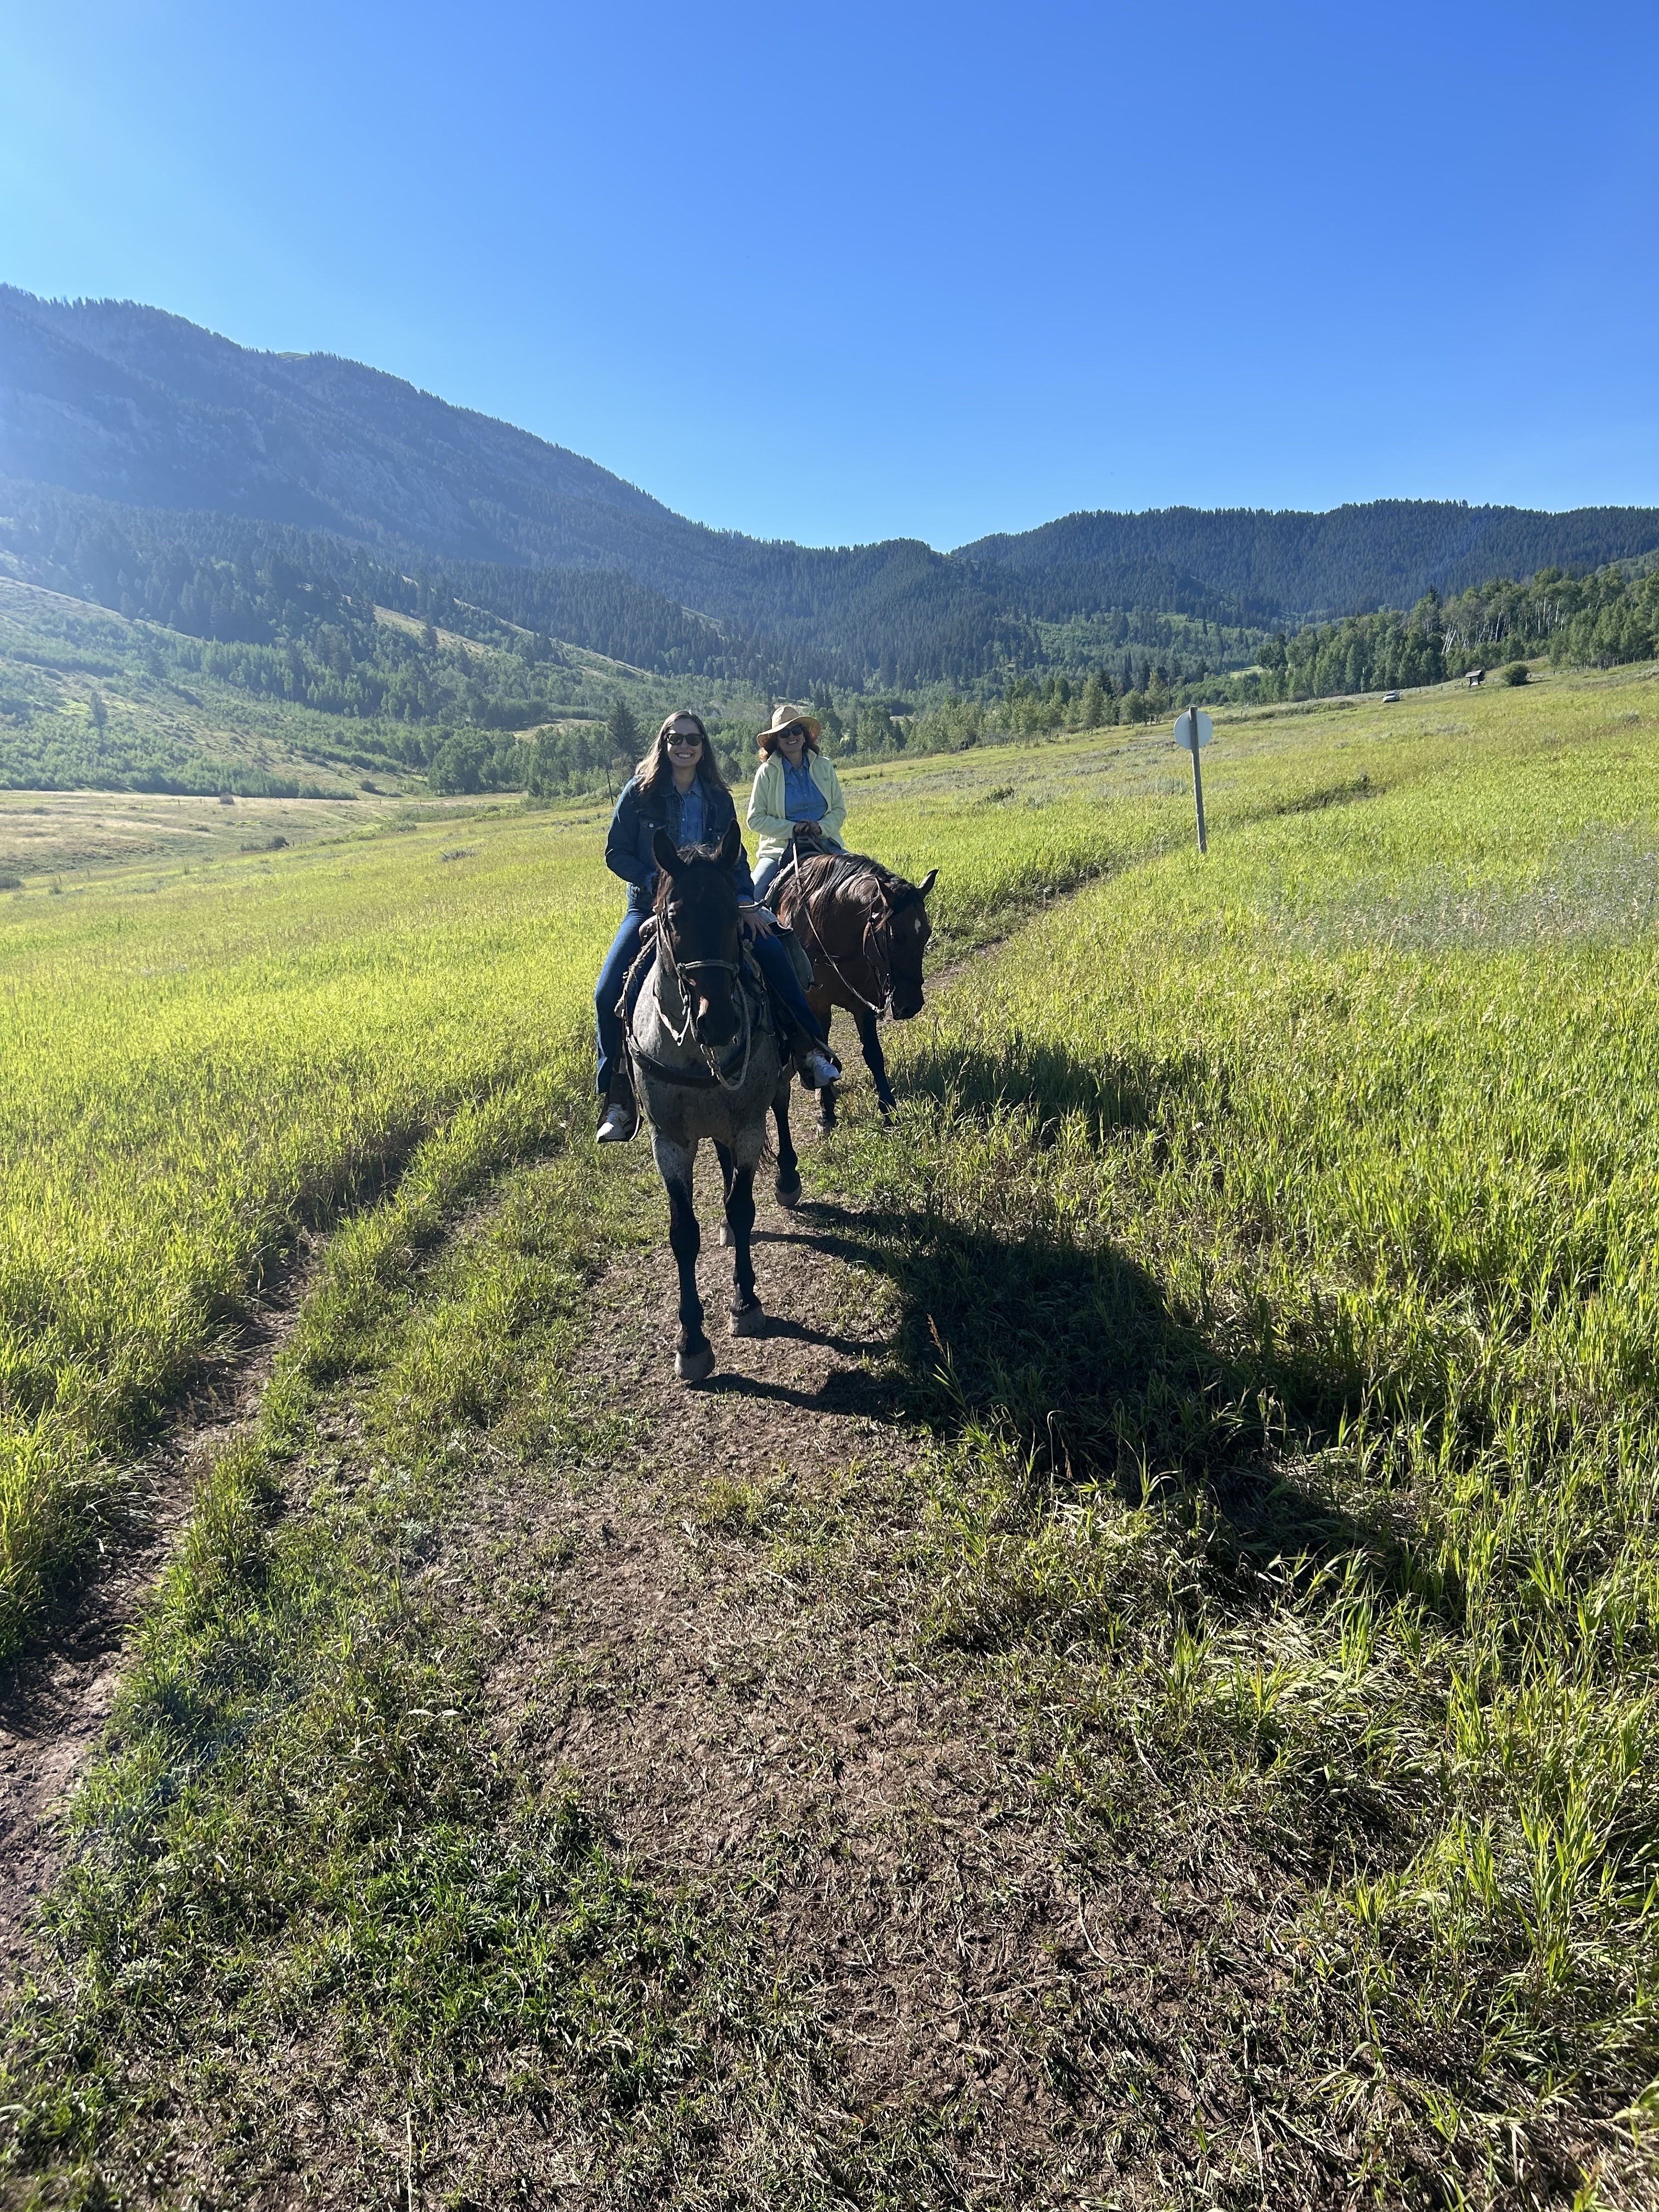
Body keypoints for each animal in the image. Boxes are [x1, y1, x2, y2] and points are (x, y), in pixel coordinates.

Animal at [628, 822, 800, 1371]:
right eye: (674, 917)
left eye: (733, 914)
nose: (719, 1021)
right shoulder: (669, 1142)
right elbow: (684, 1234)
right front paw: (692, 1341)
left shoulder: (747, 1126)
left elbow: (743, 1208)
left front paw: (746, 1302)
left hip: (773, 1089)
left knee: (781, 1111)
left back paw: (788, 1180)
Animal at [778, 836, 938, 1132]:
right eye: (894, 936)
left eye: (926, 934)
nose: (911, 1006)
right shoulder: (817, 1004)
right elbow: (822, 1045)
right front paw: (826, 1113)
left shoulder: (863, 1004)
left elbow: (874, 1054)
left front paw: (888, 1111)